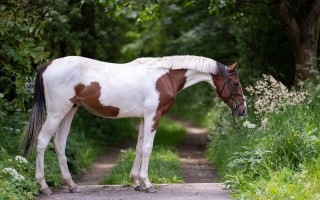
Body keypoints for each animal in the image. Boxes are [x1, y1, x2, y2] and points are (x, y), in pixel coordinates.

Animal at [23, 54, 246, 194]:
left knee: (59, 144)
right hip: (56, 112)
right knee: (42, 141)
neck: (165, 76)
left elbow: (139, 148)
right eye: (235, 83)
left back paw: (71, 185)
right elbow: (147, 148)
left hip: (69, 111)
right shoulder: (153, 116)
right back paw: (44, 186)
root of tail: (48, 65)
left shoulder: (143, 118)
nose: (242, 109)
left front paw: (136, 182)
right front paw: (148, 183)